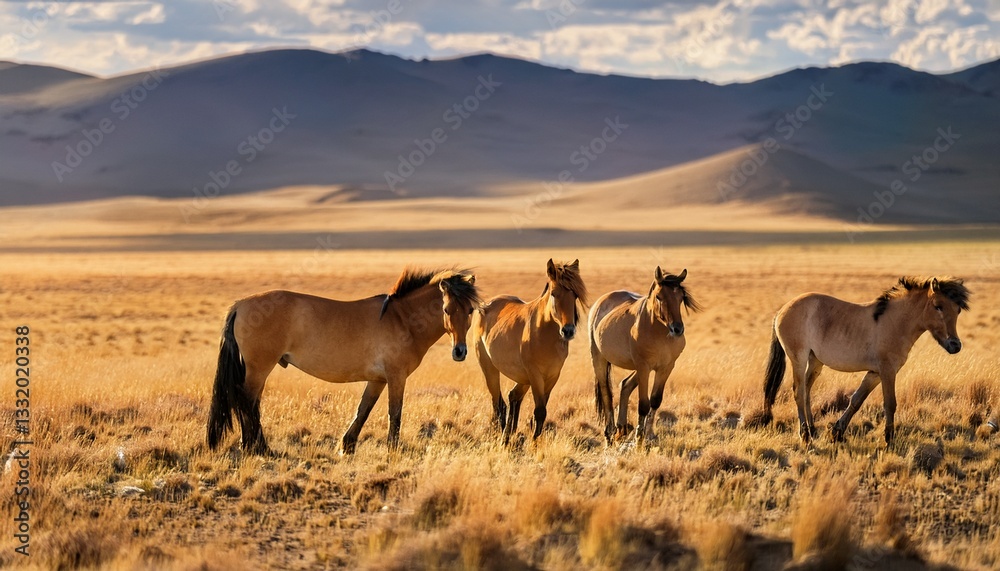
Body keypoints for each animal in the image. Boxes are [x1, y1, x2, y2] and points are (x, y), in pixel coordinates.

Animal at [206, 268, 480, 455]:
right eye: (446, 310)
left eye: (470, 311)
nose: (460, 352)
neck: (403, 320)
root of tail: (240, 305)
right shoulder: (396, 377)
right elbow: (395, 413)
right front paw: (392, 449)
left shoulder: (378, 380)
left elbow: (363, 409)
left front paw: (346, 446)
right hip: (259, 368)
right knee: (247, 402)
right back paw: (258, 448)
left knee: (249, 403)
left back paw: (254, 446)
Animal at [473, 259, 587, 445]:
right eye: (554, 294)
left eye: (575, 295)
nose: (568, 331)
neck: (545, 334)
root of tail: (485, 305)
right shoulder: (535, 375)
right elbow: (539, 411)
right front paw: (533, 444)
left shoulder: (552, 376)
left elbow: (540, 412)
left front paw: (535, 441)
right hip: (489, 368)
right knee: (498, 402)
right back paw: (502, 437)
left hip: (523, 377)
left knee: (513, 396)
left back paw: (508, 435)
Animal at [589, 267, 701, 444]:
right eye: (659, 297)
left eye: (681, 298)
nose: (677, 329)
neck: (659, 332)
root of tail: (600, 302)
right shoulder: (644, 367)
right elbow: (643, 404)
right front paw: (639, 438)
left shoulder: (665, 368)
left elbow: (655, 401)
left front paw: (648, 434)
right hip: (599, 359)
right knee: (607, 393)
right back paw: (609, 433)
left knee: (625, 385)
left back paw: (621, 428)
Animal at [751, 276, 970, 446]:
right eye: (938, 306)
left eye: (958, 310)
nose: (955, 345)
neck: (895, 322)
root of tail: (782, 310)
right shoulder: (887, 371)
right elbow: (890, 404)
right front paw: (889, 440)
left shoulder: (875, 373)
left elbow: (856, 400)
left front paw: (837, 432)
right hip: (799, 358)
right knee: (798, 391)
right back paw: (805, 435)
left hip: (815, 362)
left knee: (806, 390)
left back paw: (812, 429)